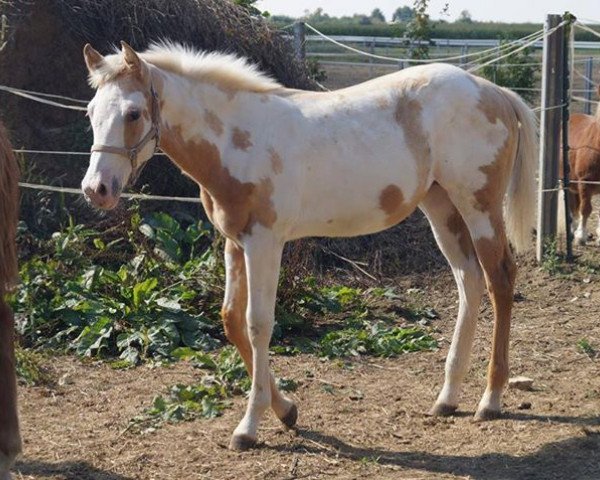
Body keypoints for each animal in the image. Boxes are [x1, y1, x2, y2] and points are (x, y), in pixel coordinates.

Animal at [81, 41, 540, 450]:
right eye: (90, 112)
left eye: (133, 113)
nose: (96, 190)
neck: (240, 138)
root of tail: (493, 91)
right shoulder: (234, 242)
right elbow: (231, 320)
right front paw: (286, 411)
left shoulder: (265, 242)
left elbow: (258, 324)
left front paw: (248, 428)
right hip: (441, 206)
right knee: (469, 281)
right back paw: (447, 398)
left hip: (478, 205)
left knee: (500, 280)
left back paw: (490, 400)